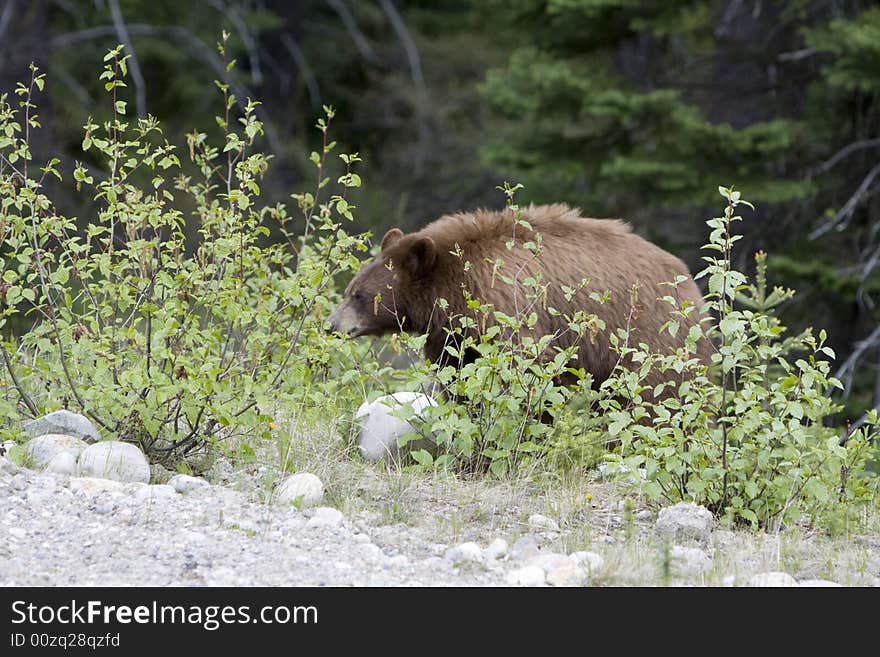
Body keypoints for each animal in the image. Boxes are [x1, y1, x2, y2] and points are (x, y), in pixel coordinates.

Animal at [328, 202, 708, 392]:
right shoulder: (454, 333)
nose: (332, 325)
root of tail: (689, 280)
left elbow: (523, 366)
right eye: (349, 291)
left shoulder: (507, 304)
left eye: (360, 296)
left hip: (650, 338)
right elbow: (457, 370)